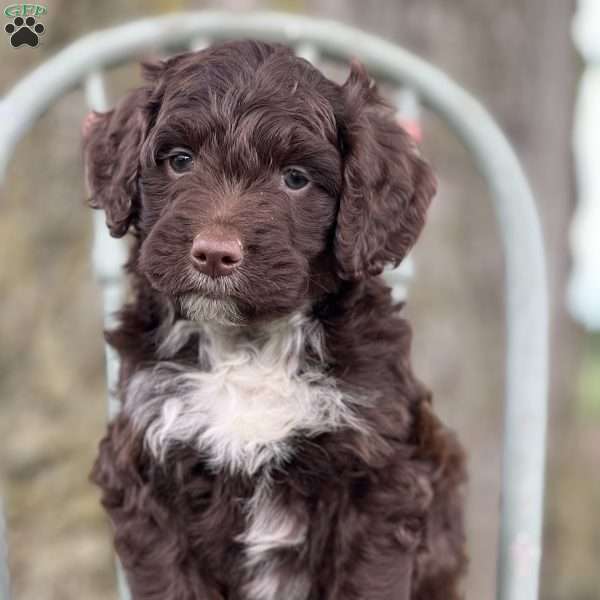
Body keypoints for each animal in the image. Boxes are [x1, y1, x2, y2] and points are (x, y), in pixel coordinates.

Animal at [84, 41, 468, 600]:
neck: (248, 343)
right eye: (180, 161)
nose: (214, 255)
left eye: (295, 179)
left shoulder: (379, 473)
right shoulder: (146, 468)